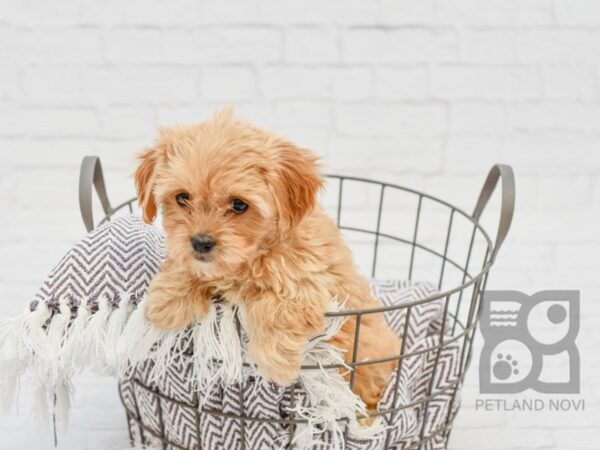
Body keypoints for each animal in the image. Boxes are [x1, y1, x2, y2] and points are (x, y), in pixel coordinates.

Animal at [134, 108, 400, 408]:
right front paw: (166, 301)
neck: (253, 255)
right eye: (182, 197)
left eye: (239, 204)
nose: (201, 243)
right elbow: (186, 266)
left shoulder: (309, 286)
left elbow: (275, 307)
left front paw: (277, 362)